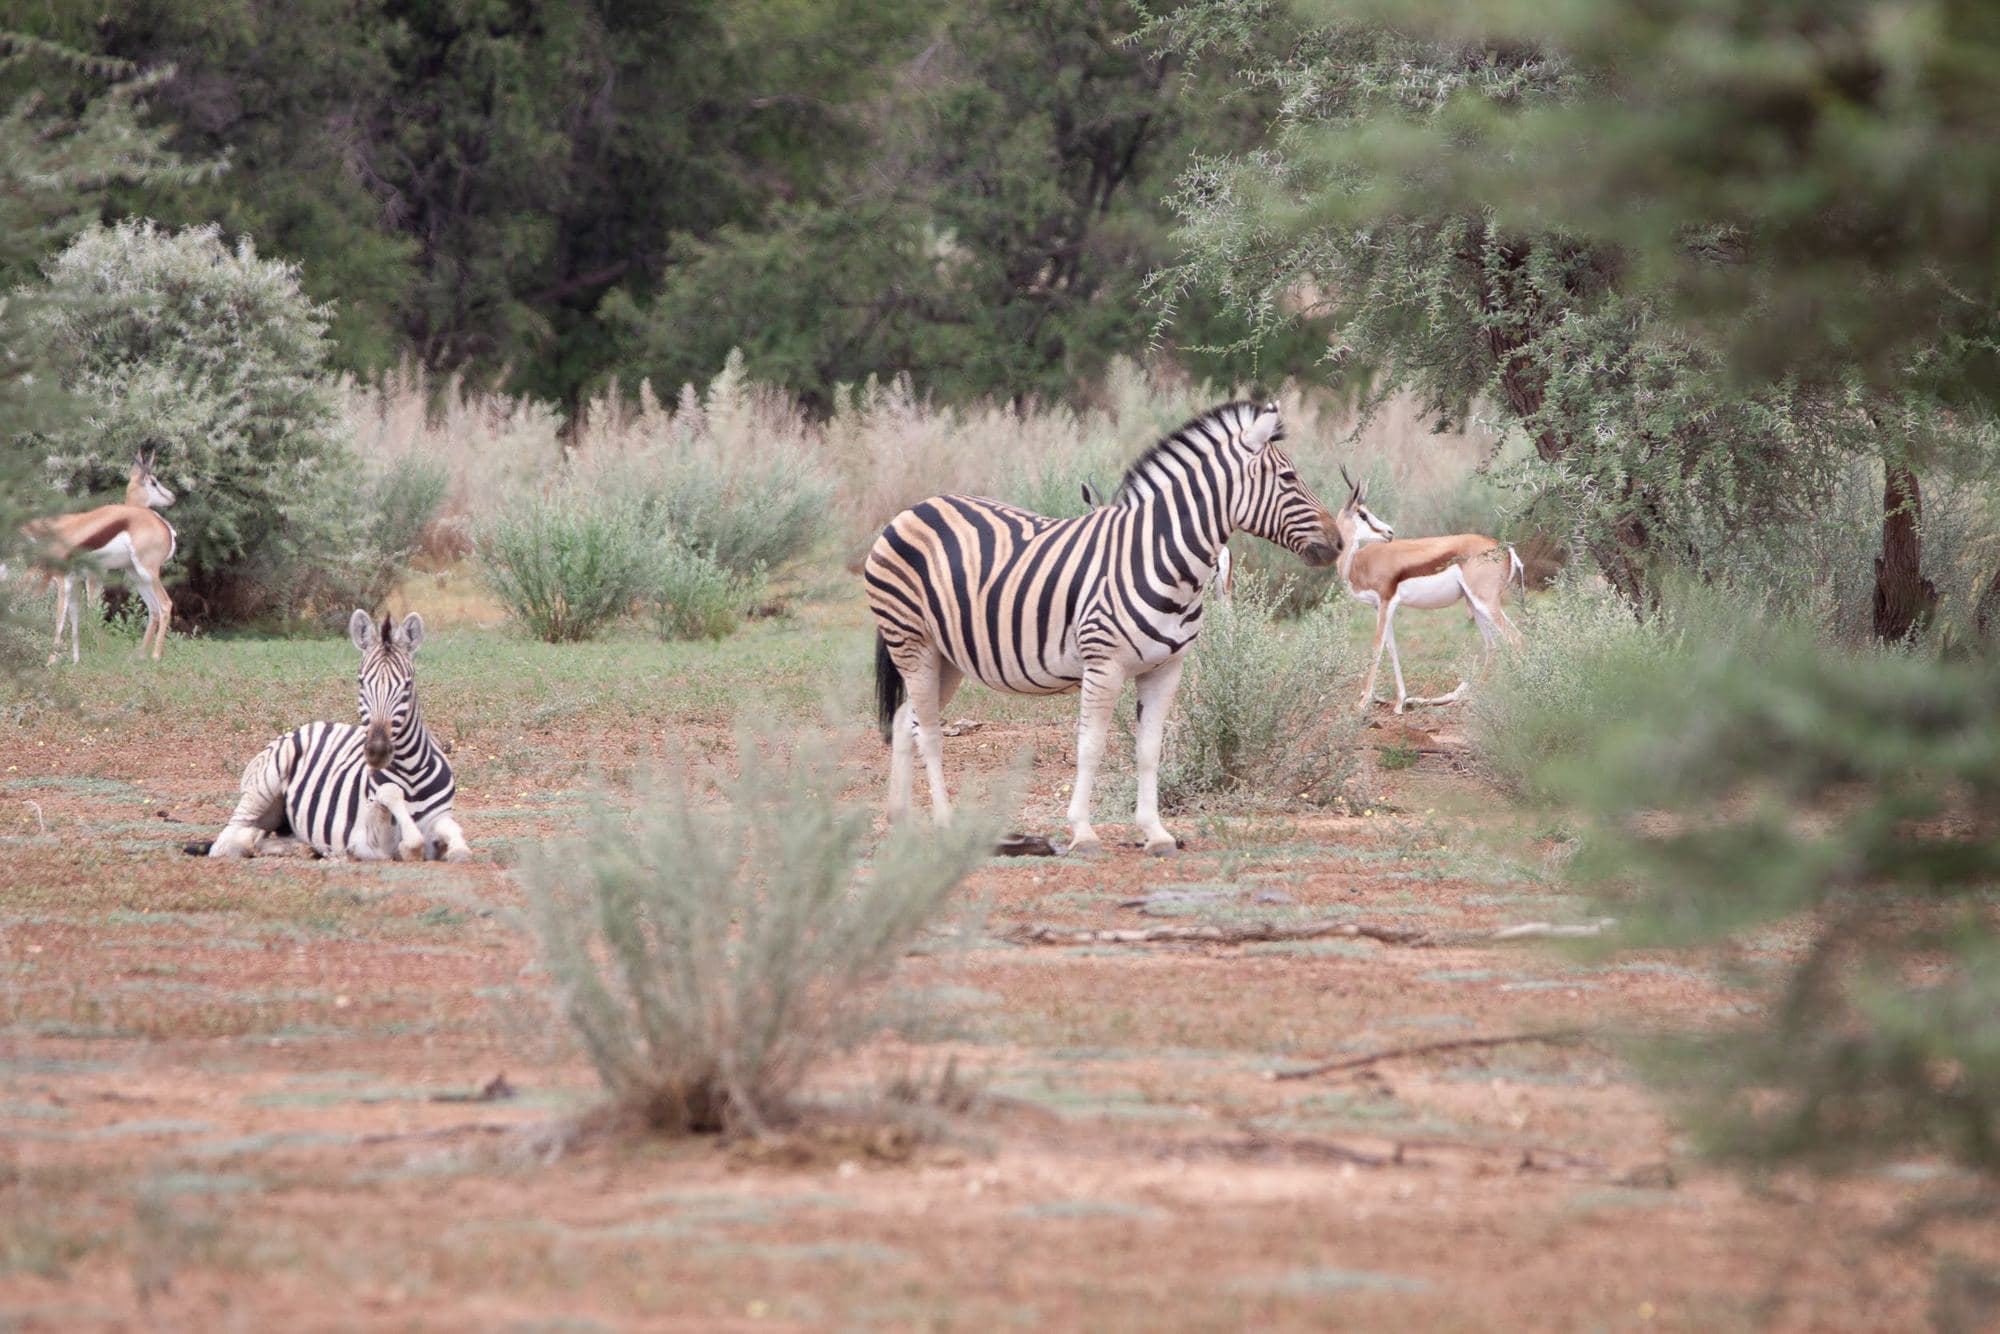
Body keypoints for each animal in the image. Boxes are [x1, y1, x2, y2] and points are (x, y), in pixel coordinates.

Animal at [187, 610, 471, 862]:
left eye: (407, 684)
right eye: (361, 681)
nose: (377, 750)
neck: (410, 774)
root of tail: (306, 726)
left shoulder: (441, 817)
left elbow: (455, 838)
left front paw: (456, 850)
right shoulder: (367, 839)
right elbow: (407, 832)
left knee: (263, 838)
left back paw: (304, 848)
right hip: (262, 790)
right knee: (229, 840)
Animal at [865, 400, 1341, 856]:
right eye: (1288, 477)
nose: (1338, 543)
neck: (1160, 557)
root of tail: (915, 508)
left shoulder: (1166, 669)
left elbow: (1149, 750)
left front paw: (1156, 833)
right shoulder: (1104, 664)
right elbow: (1090, 747)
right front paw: (1083, 832)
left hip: (947, 656)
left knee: (906, 719)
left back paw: (900, 821)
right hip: (911, 640)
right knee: (928, 732)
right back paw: (945, 825)